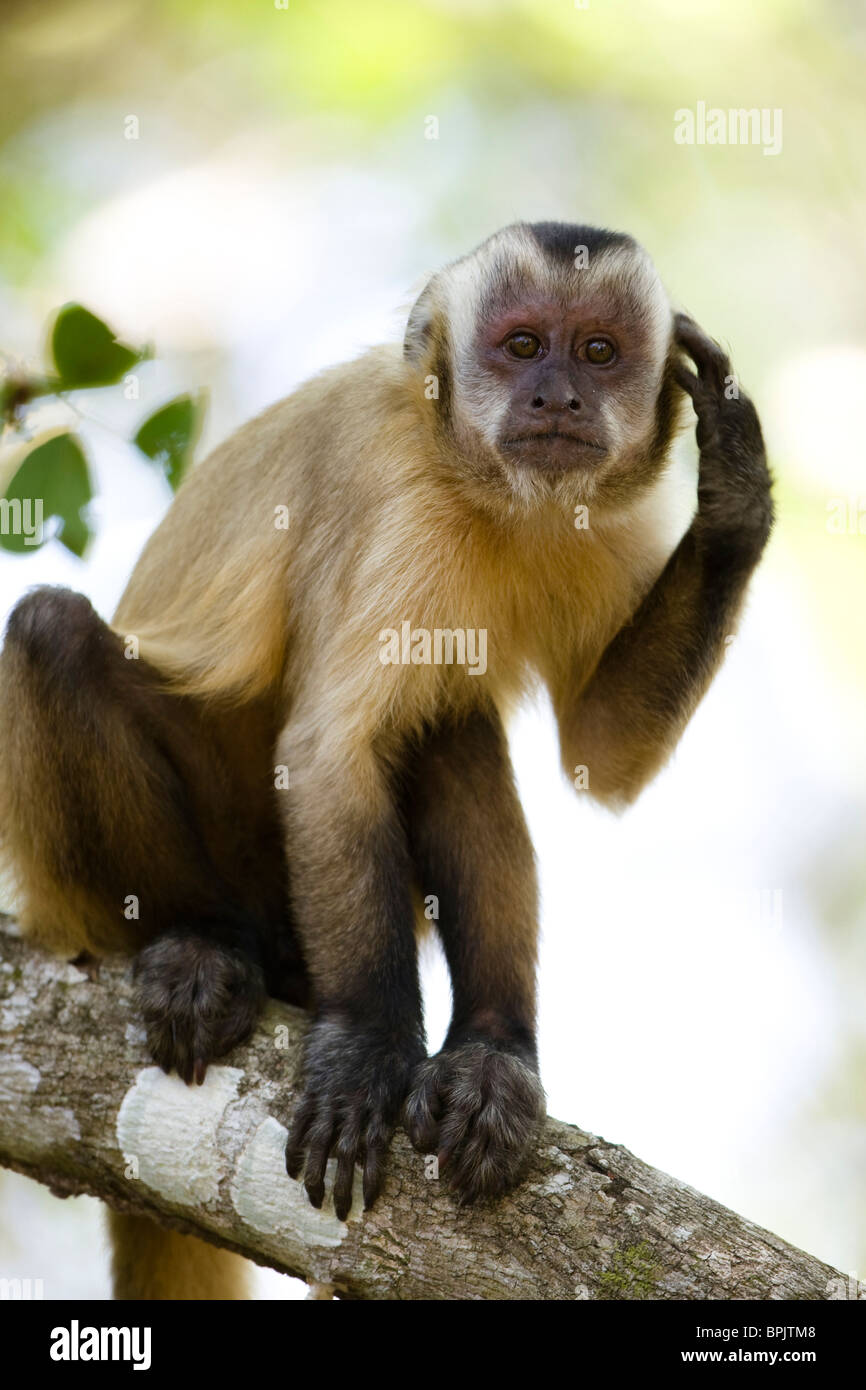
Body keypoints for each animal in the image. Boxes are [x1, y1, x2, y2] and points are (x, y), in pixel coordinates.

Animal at [0, 222, 772, 1299]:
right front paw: (366, 1046)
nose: (557, 399)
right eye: (523, 347)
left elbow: (601, 755)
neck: (486, 491)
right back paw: (202, 944)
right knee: (51, 635)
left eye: (598, 353)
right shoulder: (389, 496)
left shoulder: (609, 516)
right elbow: (329, 755)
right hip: (86, 892)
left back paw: (493, 1051)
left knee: (449, 725)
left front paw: (735, 489)